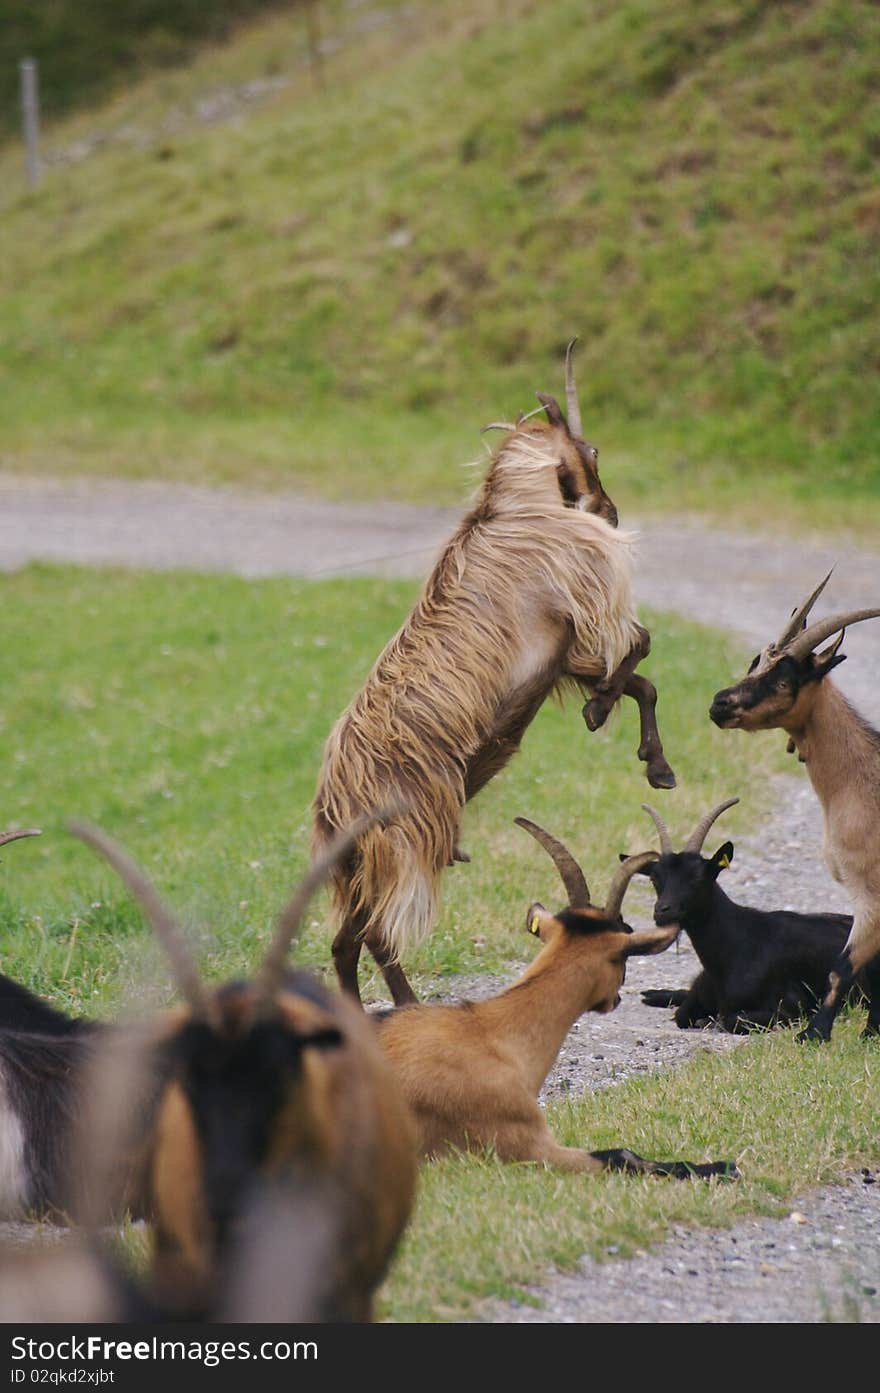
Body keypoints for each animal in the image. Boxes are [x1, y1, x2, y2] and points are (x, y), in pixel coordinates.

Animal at [314, 344, 673, 1008]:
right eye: (592, 450)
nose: (610, 512)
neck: (518, 508)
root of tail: (336, 799)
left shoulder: (565, 656)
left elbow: (642, 680)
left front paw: (655, 764)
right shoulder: (587, 612)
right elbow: (638, 646)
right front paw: (599, 710)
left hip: (362, 866)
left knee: (346, 941)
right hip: (409, 843)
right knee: (378, 931)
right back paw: (408, 1007)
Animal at [375, 813, 735, 1186]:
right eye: (624, 947)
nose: (616, 998)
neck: (489, 1034)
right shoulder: (526, 1145)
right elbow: (622, 1155)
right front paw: (720, 1167)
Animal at [626, 796, 857, 1036]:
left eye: (697, 877)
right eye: (654, 878)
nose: (662, 910)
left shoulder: (792, 1008)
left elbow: (729, 1019)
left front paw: (709, 1020)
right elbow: (682, 1015)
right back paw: (651, 994)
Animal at [707, 571, 880, 1041]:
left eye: (785, 681)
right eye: (756, 662)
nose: (719, 704)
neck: (859, 782)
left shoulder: (870, 893)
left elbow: (843, 968)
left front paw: (814, 1035)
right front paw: (871, 1034)